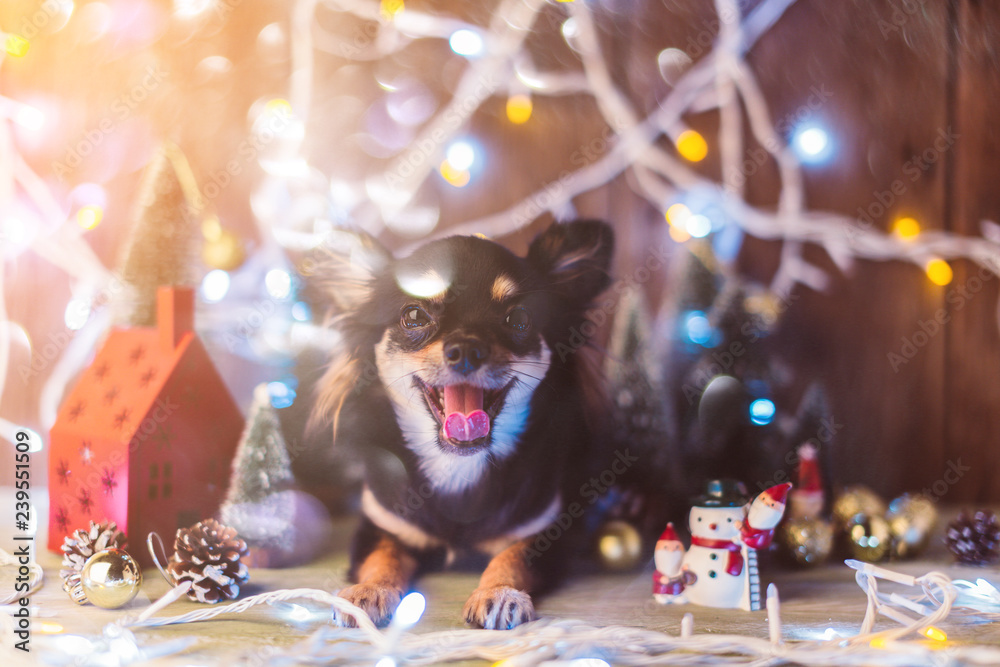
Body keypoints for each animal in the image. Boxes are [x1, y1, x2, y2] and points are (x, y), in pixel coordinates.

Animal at [312, 220, 612, 632]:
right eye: (415, 316)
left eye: (519, 319)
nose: (467, 347)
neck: (457, 466)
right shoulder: (380, 525)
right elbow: (381, 557)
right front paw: (367, 591)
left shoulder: (545, 531)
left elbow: (512, 557)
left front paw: (499, 593)